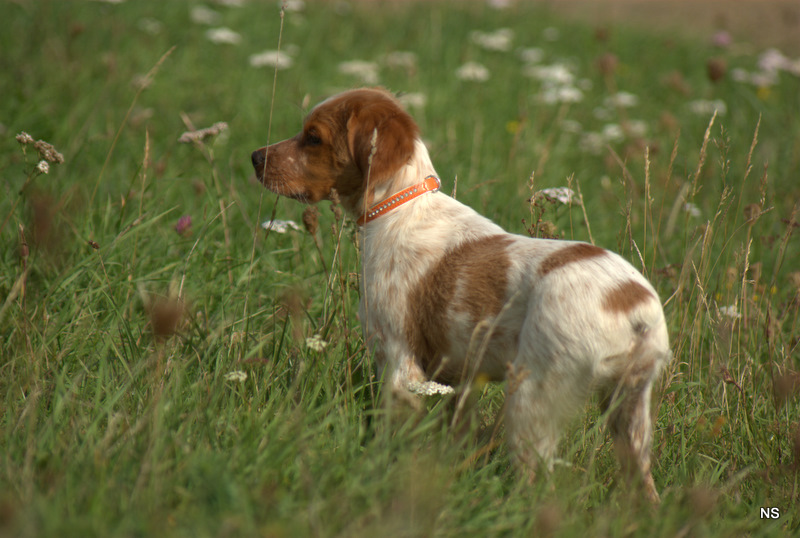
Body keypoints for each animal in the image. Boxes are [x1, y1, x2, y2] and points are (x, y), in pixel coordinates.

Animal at [250, 86, 668, 500]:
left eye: (313, 137)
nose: (254, 156)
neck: (399, 206)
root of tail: (632, 302)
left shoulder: (399, 361)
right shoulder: (459, 380)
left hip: (532, 397)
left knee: (538, 485)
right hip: (630, 411)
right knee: (643, 484)